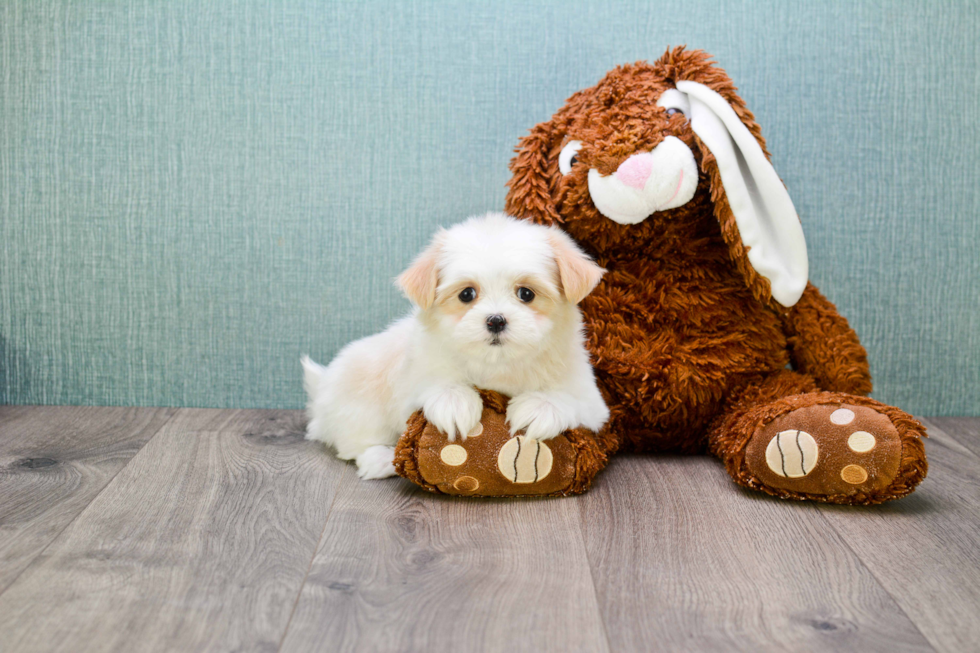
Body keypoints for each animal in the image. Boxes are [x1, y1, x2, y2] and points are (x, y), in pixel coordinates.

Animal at [302, 213, 608, 478]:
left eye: (526, 294)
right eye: (467, 294)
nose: (496, 320)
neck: (498, 364)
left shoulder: (592, 399)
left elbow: (571, 399)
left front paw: (539, 408)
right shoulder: (415, 375)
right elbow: (433, 383)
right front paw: (454, 402)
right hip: (358, 397)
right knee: (354, 441)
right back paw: (380, 459)